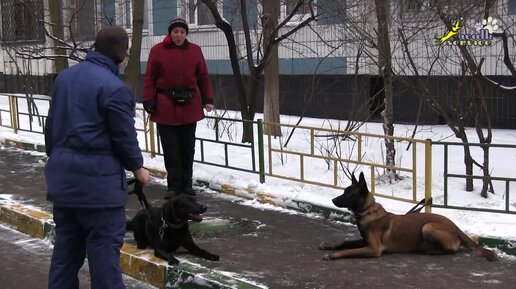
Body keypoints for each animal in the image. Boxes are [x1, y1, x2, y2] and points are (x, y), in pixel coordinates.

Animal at [320, 172, 498, 260]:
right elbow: (345, 241)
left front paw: (334, 255)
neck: (368, 211)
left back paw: (431, 251)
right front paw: (330, 245)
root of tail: (456, 227)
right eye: (344, 191)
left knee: (453, 249)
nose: (333, 200)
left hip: (428, 226)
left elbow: (350, 251)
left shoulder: (373, 249)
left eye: (349, 193)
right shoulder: (365, 241)